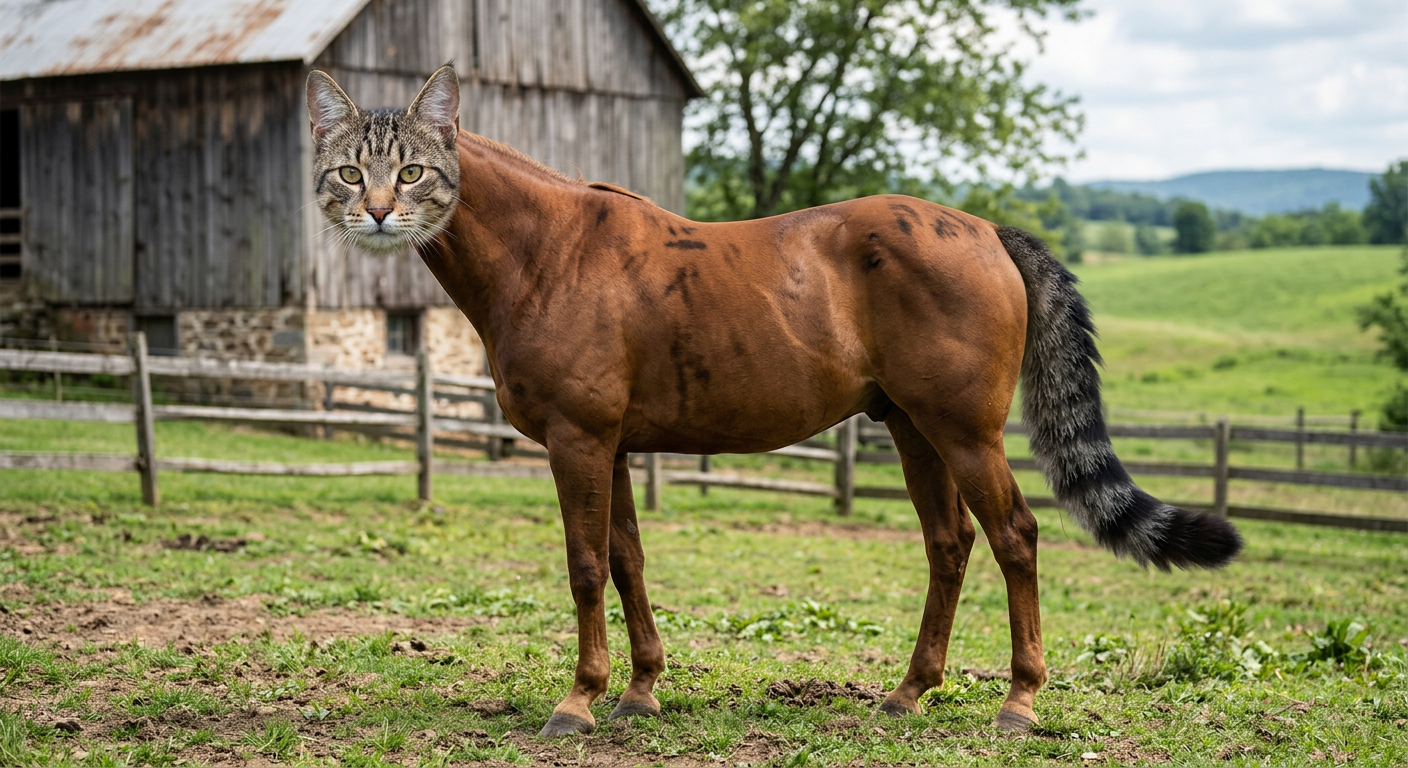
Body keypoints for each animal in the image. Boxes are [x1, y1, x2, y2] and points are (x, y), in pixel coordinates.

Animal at [306, 65, 1243, 738]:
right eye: (349, 169)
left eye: (413, 169)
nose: (377, 215)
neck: (553, 253)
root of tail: (984, 229)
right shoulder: (614, 447)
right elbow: (627, 560)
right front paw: (641, 691)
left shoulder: (577, 442)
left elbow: (584, 568)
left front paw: (578, 701)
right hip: (914, 431)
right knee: (949, 545)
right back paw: (908, 692)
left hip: (965, 432)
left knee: (1014, 536)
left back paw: (1019, 702)